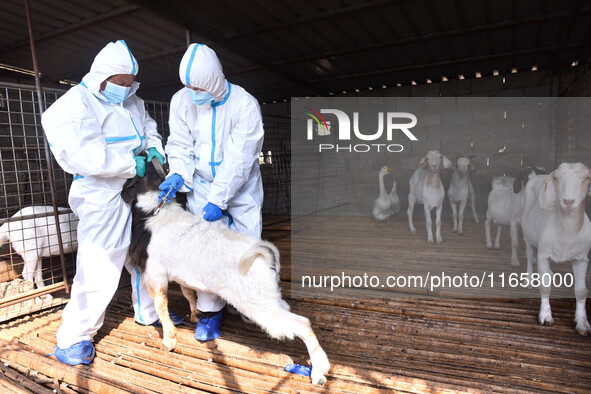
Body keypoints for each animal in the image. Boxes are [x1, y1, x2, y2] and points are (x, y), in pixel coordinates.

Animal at [122, 162, 330, 384]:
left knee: (302, 323)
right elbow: (188, 293)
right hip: (267, 298)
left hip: (258, 304)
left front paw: (169, 340)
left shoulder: (155, 274)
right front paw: (195, 315)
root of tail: (264, 254)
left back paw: (318, 373)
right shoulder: (179, 274)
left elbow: (161, 305)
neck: (154, 211)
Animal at [524, 163, 591, 336]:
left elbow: (581, 291)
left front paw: (582, 324)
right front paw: (546, 316)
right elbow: (545, 286)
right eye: (557, 178)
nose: (568, 201)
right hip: (527, 233)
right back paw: (529, 278)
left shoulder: (581, 258)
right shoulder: (543, 254)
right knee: (529, 254)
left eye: (586, 178)